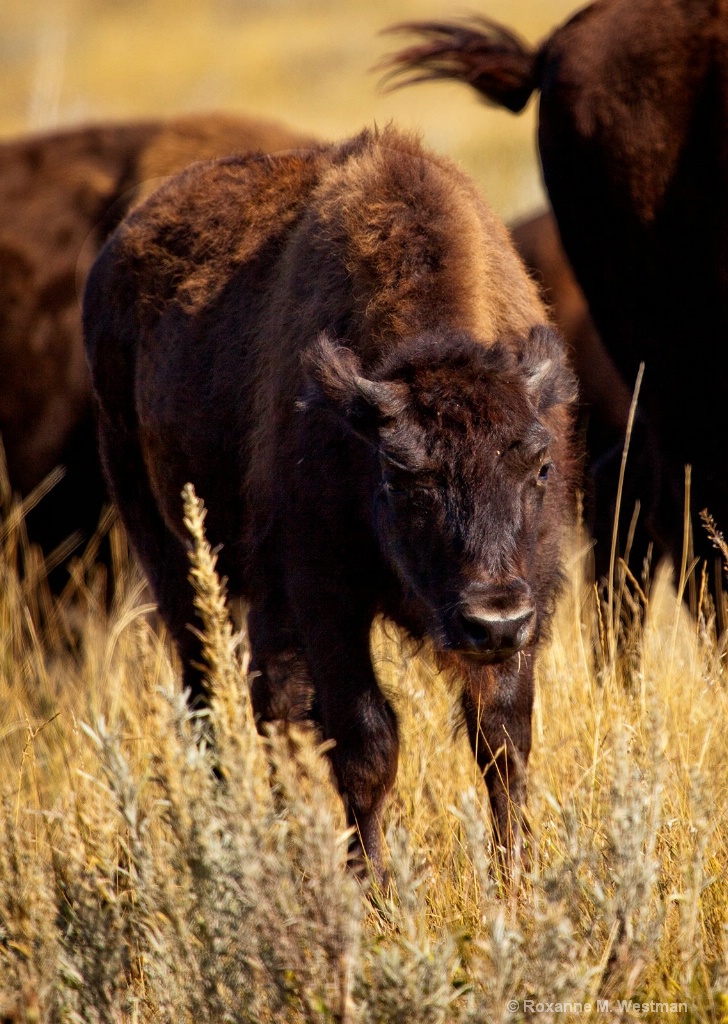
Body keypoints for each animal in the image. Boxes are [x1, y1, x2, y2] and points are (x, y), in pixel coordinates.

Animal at [83, 121, 573, 872]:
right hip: (168, 549)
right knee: (212, 697)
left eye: (540, 466)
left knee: (271, 708)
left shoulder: (530, 595)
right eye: (402, 476)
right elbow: (368, 744)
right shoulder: (324, 595)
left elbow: (502, 740)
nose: (491, 619)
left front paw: (517, 879)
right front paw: (371, 886)